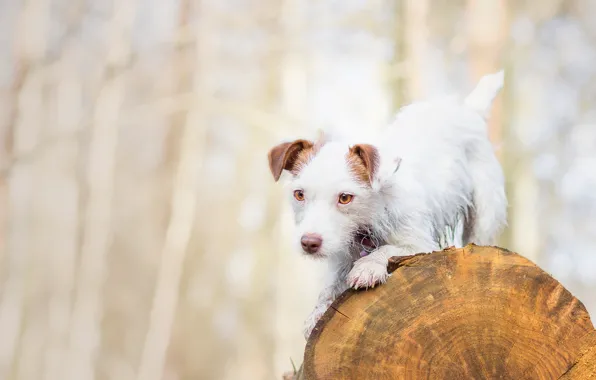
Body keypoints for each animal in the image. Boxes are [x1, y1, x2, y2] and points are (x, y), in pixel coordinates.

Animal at [270, 71, 508, 338]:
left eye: (345, 197)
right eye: (299, 194)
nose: (309, 243)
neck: (371, 214)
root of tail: (467, 110)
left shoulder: (420, 244)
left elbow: (388, 249)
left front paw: (368, 267)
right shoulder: (340, 254)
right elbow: (330, 285)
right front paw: (318, 311)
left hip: (484, 214)